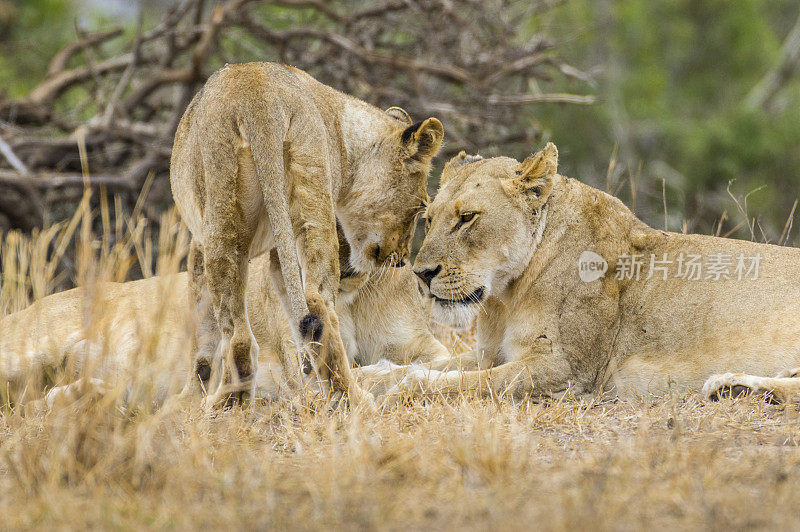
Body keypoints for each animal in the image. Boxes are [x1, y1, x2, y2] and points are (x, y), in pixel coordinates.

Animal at [0, 247, 450, 410]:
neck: (350, 294)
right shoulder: (302, 379)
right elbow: (383, 374)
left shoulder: (426, 346)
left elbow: (435, 360)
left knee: (37, 401)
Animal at [400, 141, 800, 404]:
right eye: (429, 219)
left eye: (467, 218)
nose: (421, 274)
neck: (505, 296)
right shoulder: (489, 353)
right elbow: (428, 365)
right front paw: (388, 375)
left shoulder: (569, 371)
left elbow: (468, 383)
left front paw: (402, 387)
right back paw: (734, 387)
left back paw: (735, 387)